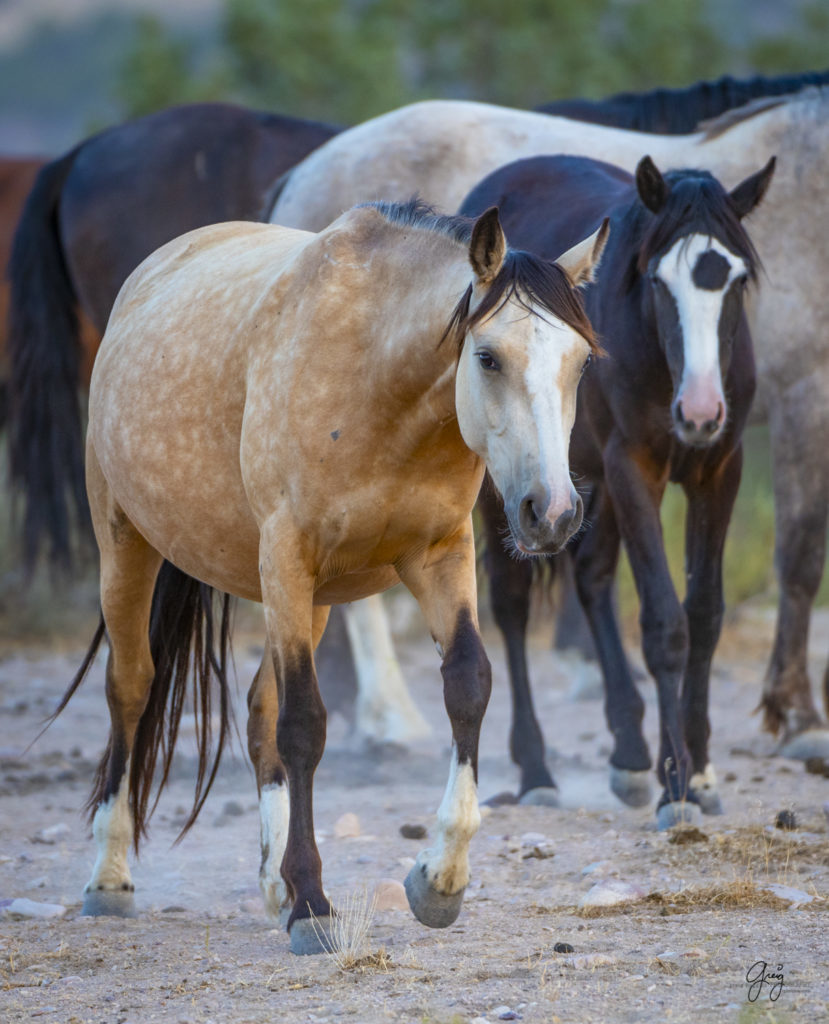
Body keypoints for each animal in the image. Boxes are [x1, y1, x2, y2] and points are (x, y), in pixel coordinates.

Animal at [462, 149, 773, 823]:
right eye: (658, 282)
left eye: (735, 282)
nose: (700, 412)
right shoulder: (634, 469)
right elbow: (663, 624)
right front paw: (676, 784)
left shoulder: (719, 470)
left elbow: (704, 614)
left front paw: (699, 770)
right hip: (514, 484)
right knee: (512, 603)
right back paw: (537, 770)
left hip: (581, 483)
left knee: (592, 579)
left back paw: (628, 750)